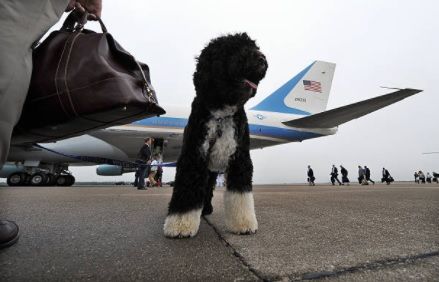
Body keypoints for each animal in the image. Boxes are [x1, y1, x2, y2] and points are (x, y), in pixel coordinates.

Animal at [164, 32, 268, 238]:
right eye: (235, 49)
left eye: (253, 46)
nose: (262, 58)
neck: (221, 113)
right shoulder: (194, 155)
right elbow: (187, 187)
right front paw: (180, 225)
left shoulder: (240, 158)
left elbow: (240, 193)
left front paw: (243, 223)